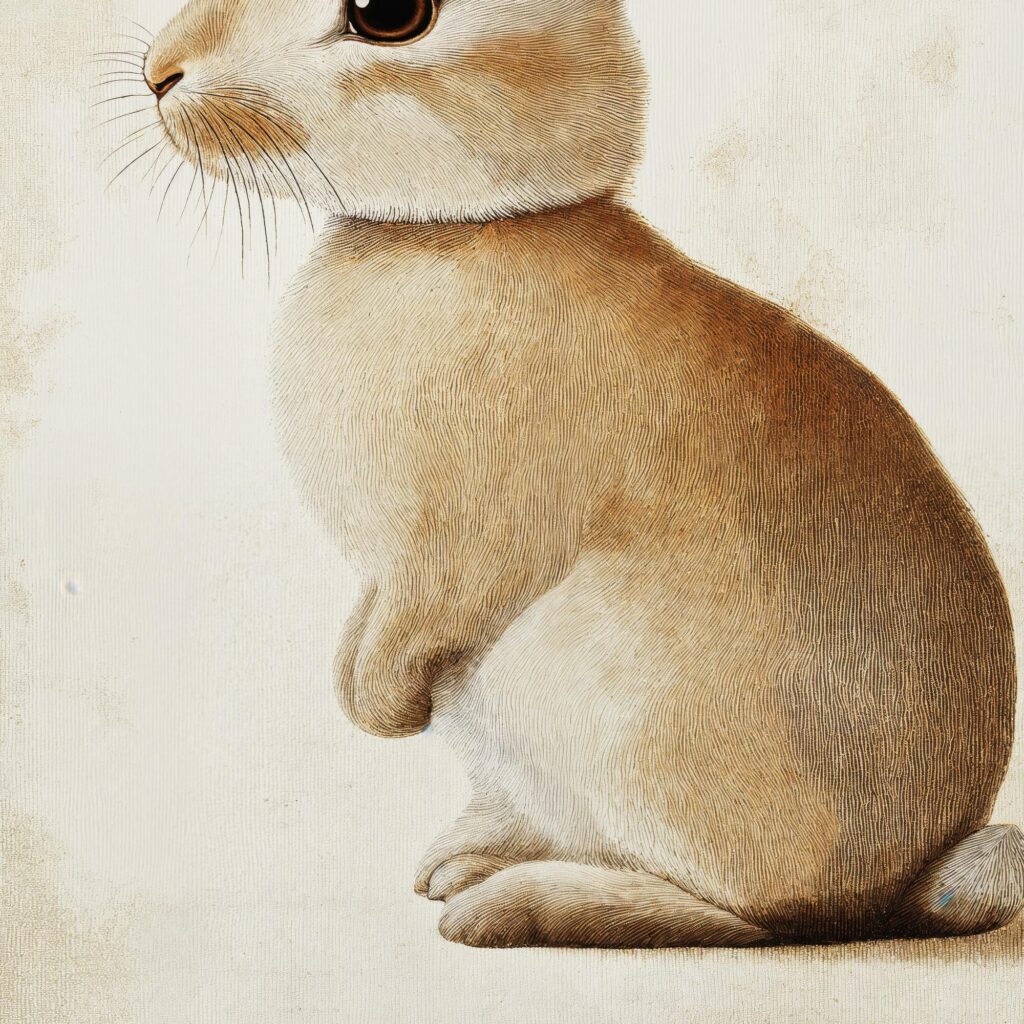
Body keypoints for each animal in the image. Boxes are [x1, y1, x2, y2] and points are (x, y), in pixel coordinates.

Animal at [136, 0, 1023, 946]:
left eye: (388, 17)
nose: (160, 72)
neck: (463, 230)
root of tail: (901, 880)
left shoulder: (460, 541)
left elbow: (428, 608)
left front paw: (381, 712)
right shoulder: (383, 576)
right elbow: (363, 625)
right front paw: (355, 694)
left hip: (625, 715)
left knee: (754, 919)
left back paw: (502, 906)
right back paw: (459, 865)